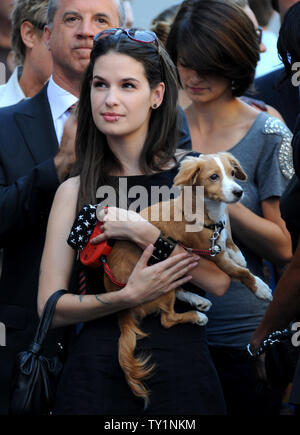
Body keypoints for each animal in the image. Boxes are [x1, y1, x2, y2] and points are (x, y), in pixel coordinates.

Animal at [101, 152, 272, 408]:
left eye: (232, 173)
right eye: (213, 177)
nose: (238, 192)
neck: (207, 213)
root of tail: (119, 303)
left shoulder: (218, 242)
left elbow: (229, 241)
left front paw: (238, 253)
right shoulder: (214, 257)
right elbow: (241, 273)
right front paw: (260, 287)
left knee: (178, 290)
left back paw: (197, 301)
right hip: (161, 276)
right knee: (167, 318)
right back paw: (197, 315)